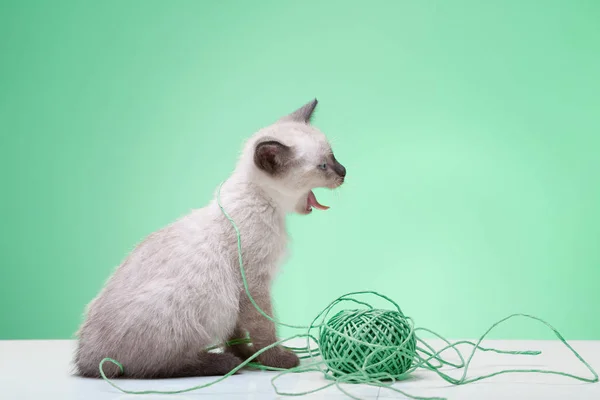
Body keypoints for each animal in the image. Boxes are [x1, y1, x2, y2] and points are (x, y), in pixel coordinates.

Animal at [75, 97, 346, 378]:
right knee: (156, 367)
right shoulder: (252, 286)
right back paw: (224, 363)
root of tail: (84, 358)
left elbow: (236, 333)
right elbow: (264, 329)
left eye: (333, 156)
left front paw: (247, 354)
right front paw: (274, 360)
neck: (269, 205)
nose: (344, 172)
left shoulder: (241, 298)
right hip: (190, 301)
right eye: (323, 166)